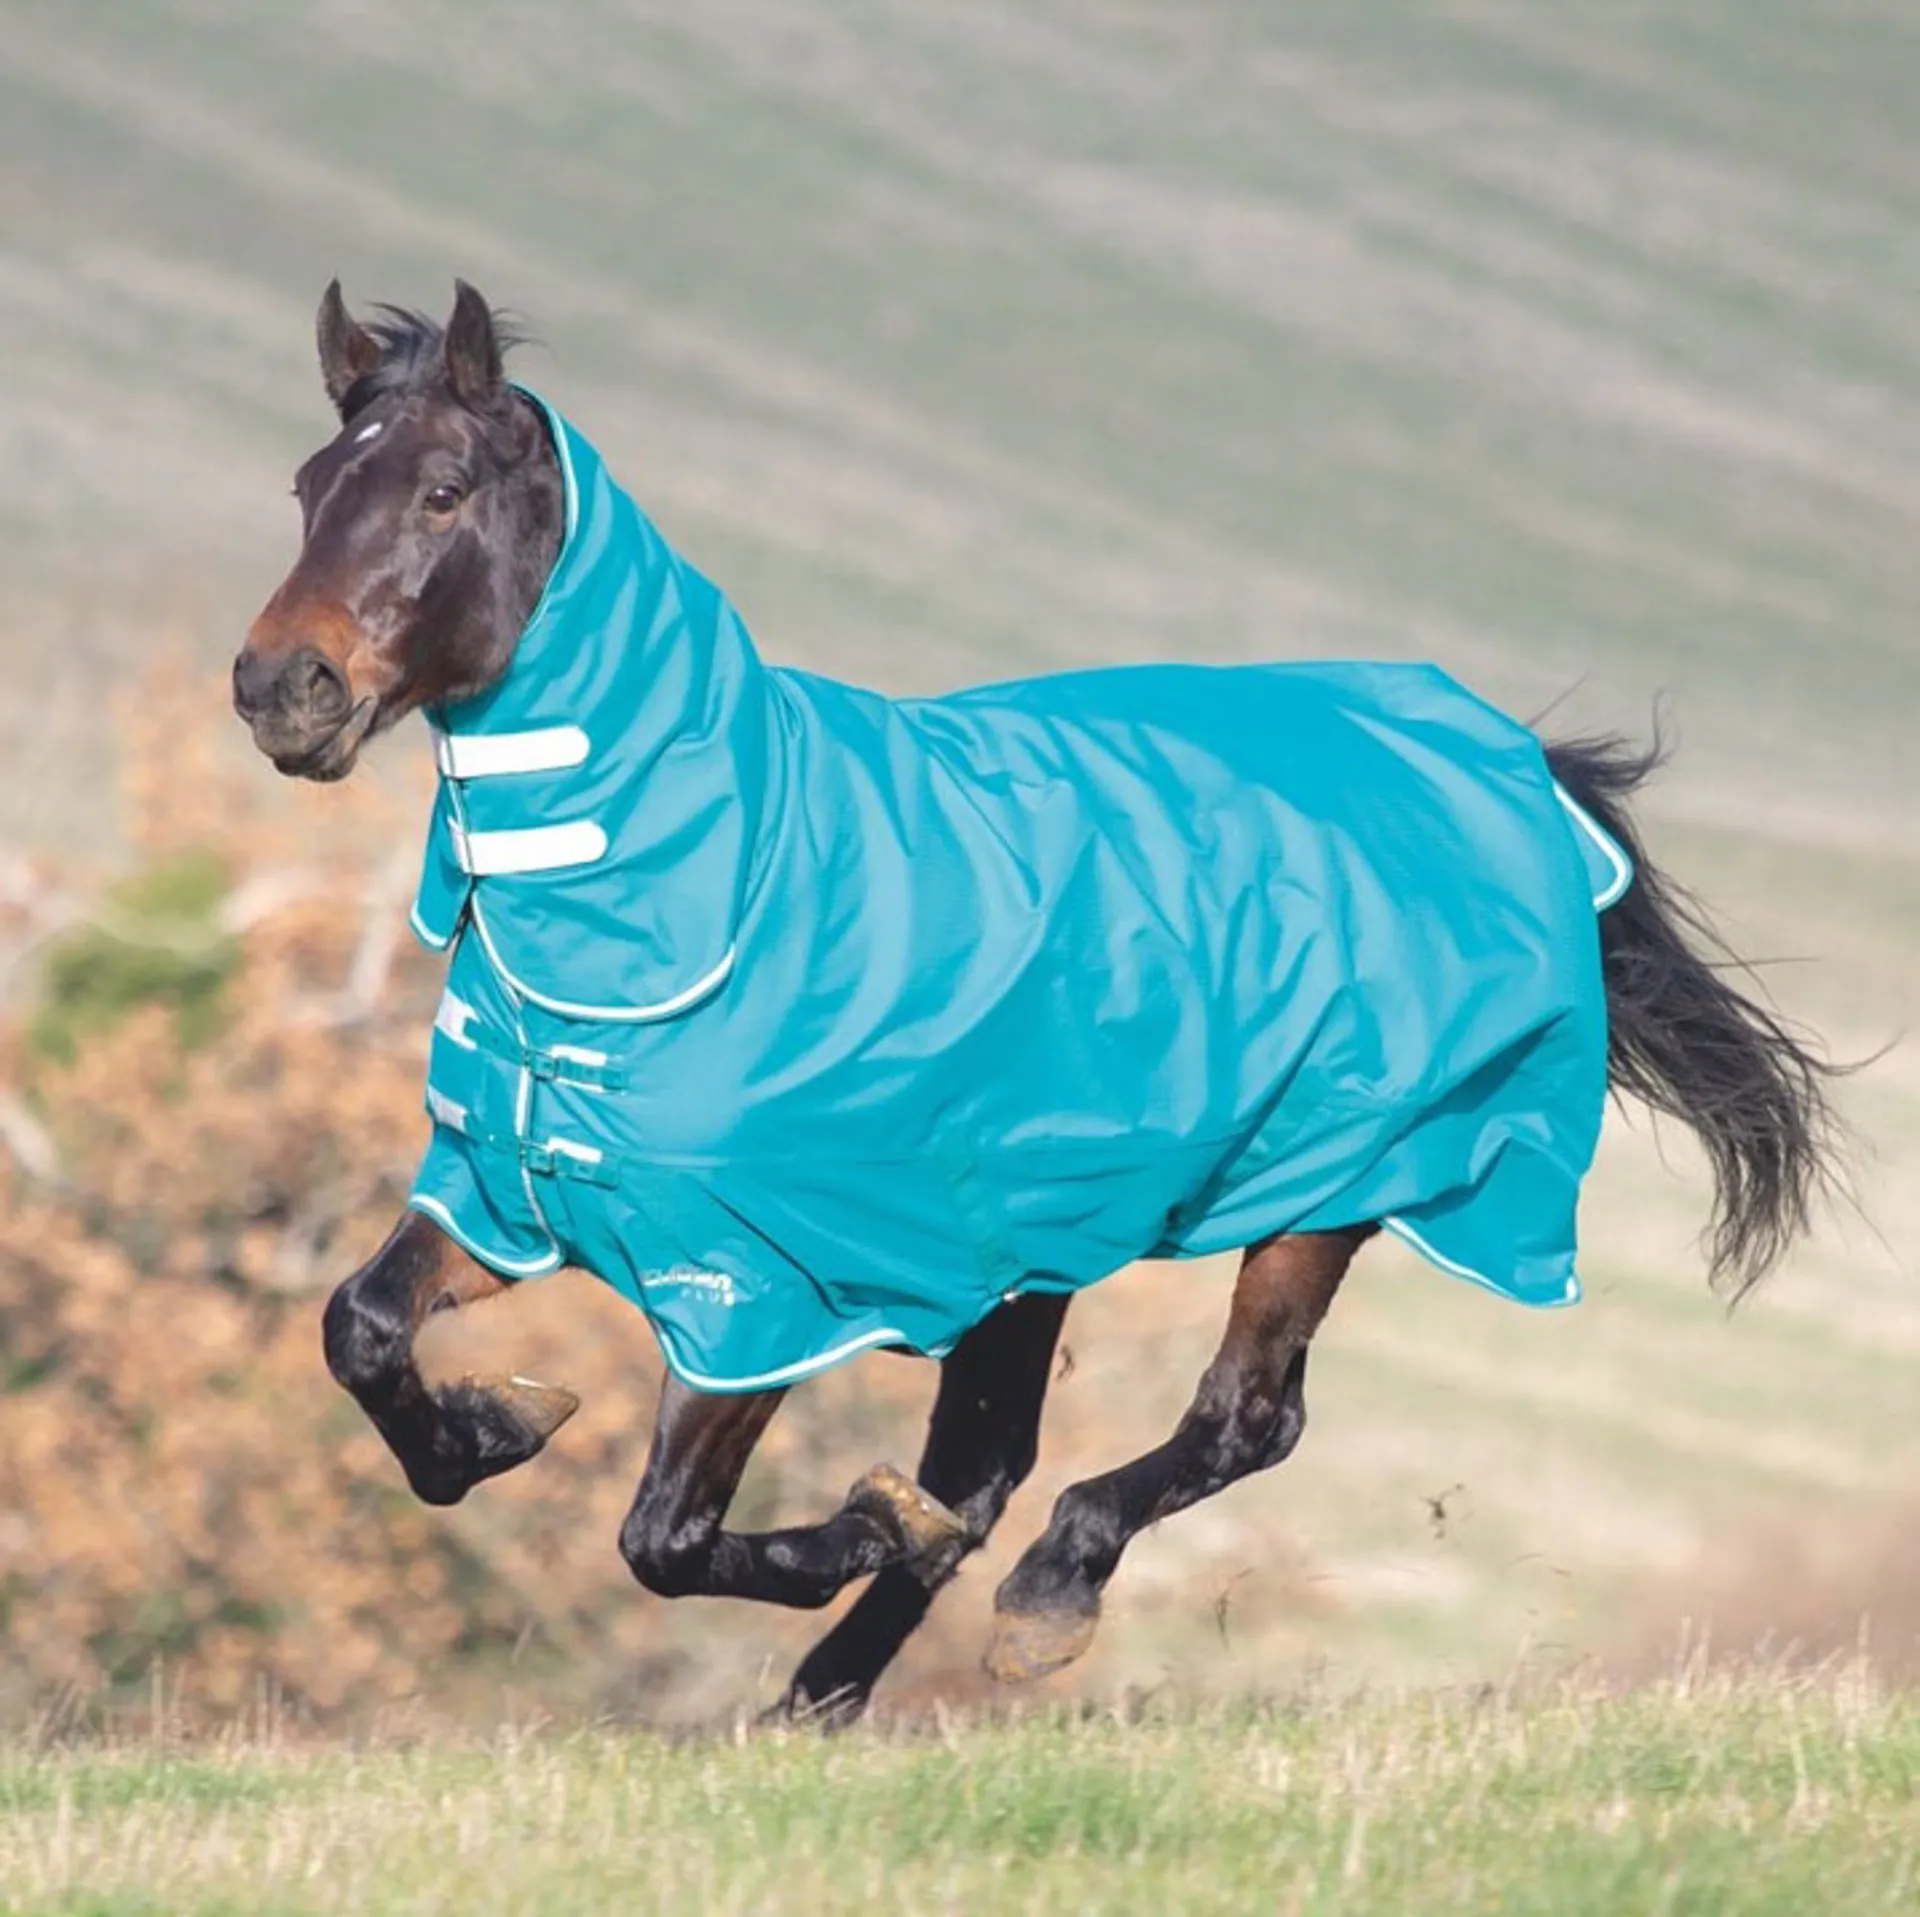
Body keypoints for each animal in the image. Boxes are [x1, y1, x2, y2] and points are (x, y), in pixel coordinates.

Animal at [233, 281, 1837, 1722]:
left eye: (442, 491)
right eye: (309, 486)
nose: (278, 689)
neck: (711, 882)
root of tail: (1499, 755)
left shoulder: (764, 1281)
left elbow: (665, 1539)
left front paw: (858, 1524)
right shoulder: (518, 1191)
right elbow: (360, 1329)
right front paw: (491, 1425)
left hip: (1330, 1188)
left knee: (1237, 1423)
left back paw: (1038, 1603)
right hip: (1027, 1246)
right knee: (1001, 1466)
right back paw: (825, 1693)